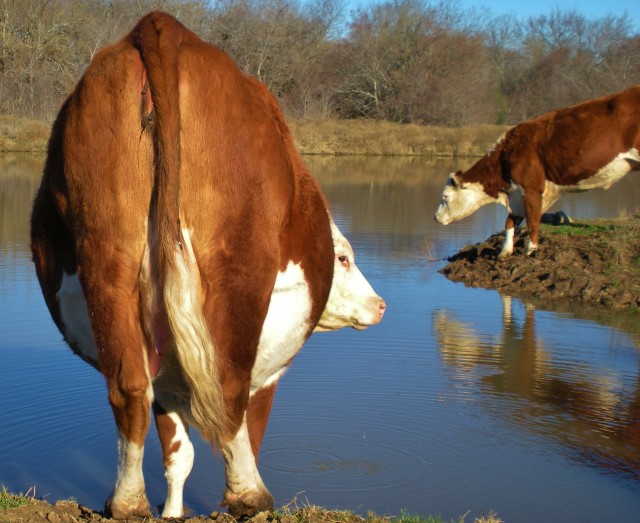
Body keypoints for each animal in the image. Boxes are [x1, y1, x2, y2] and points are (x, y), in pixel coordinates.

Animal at [30, 10, 384, 520]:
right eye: (344, 258)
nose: (381, 305)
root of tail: (161, 25)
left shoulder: (169, 385)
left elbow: (178, 457)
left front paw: (172, 512)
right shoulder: (267, 375)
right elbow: (244, 433)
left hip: (106, 255)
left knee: (128, 388)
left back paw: (127, 502)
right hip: (238, 268)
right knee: (227, 387)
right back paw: (250, 497)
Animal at [436, 85, 640, 256]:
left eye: (445, 196)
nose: (436, 217)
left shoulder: (531, 187)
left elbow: (533, 221)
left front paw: (530, 250)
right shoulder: (517, 192)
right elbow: (510, 221)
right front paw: (504, 252)